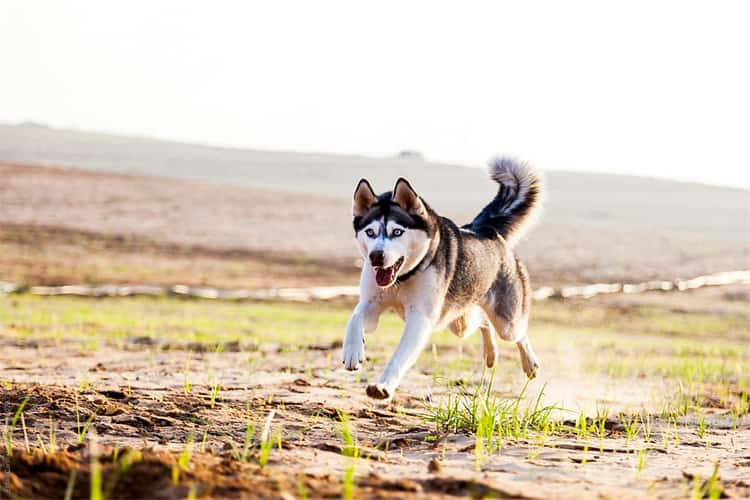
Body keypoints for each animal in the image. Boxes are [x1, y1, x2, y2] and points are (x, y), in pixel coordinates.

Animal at [344, 158, 544, 400]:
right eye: (370, 232)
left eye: (397, 232)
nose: (376, 256)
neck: (403, 278)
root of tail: (486, 229)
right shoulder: (371, 304)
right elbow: (355, 318)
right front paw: (353, 351)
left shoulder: (420, 318)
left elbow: (399, 357)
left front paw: (383, 385)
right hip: (458, 321)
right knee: (482, 321)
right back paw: (491, 354)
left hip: (506, 323)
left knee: (518, 333)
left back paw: (530, 363)